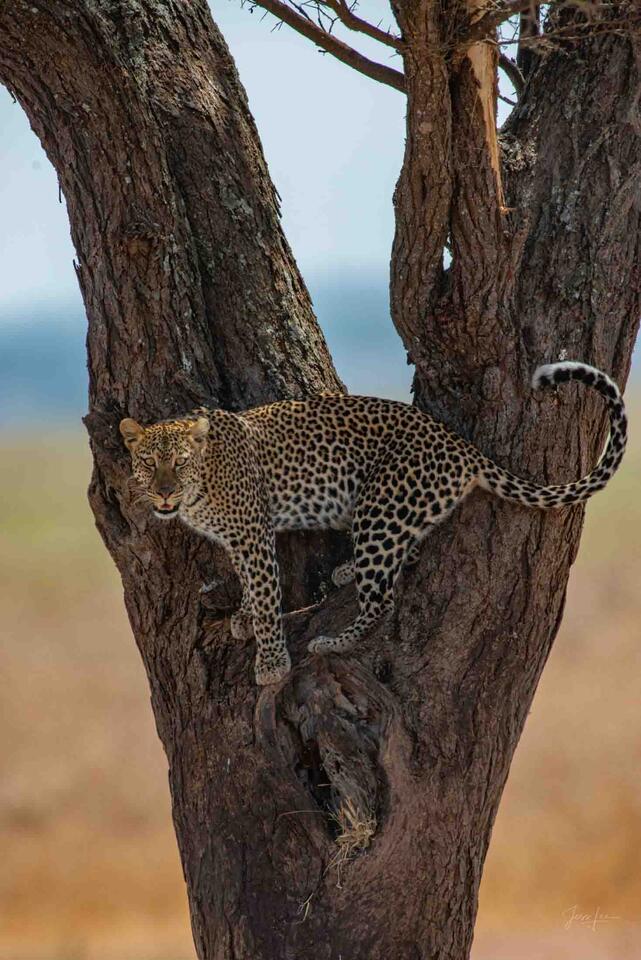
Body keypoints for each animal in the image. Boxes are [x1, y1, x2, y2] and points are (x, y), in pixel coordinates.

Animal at [120, 360, 627, 686]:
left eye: (180, 463)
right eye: (147, 463)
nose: (164, 493)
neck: (200, 487)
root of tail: (461, 446)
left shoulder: (252, 532)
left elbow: (266, 596)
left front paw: (271, 662)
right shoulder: (240, 539)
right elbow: (251, 585)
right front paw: (243, 614)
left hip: (379, 508)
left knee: (382, 600)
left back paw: (333, 642)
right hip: (386, 509)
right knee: (408, 551)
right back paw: (347, 573)